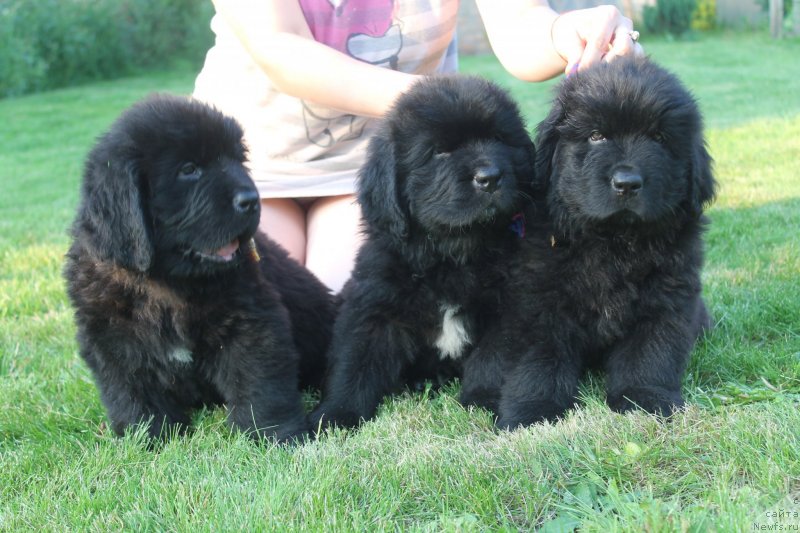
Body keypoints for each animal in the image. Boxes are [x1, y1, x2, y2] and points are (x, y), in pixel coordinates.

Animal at [65, 94, 334, 440]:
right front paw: (149, 438)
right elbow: (132, 394)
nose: (252, 199)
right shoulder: (111, 338)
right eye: (189, 170)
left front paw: (274, 434)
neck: (166, 285)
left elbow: (260, 384)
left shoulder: (252, 322)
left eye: (238, 160)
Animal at [310, 76, 536, 428]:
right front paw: (335, 415)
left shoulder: (509, 307)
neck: (452, 255)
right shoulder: (373, 307)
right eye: (439, 152)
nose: (489, 177)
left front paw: (482, 401)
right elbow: (354, 364)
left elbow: (492, 359)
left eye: (499, 139)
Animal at [460, 56, 716, 426]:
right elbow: (538, 362)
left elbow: (650, 354)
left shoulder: (667, 299)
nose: (627, 183)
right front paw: (532, 410)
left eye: (658, 138)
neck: (613, 241)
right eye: (596, 136)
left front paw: (645, 400)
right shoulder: (539, 301)